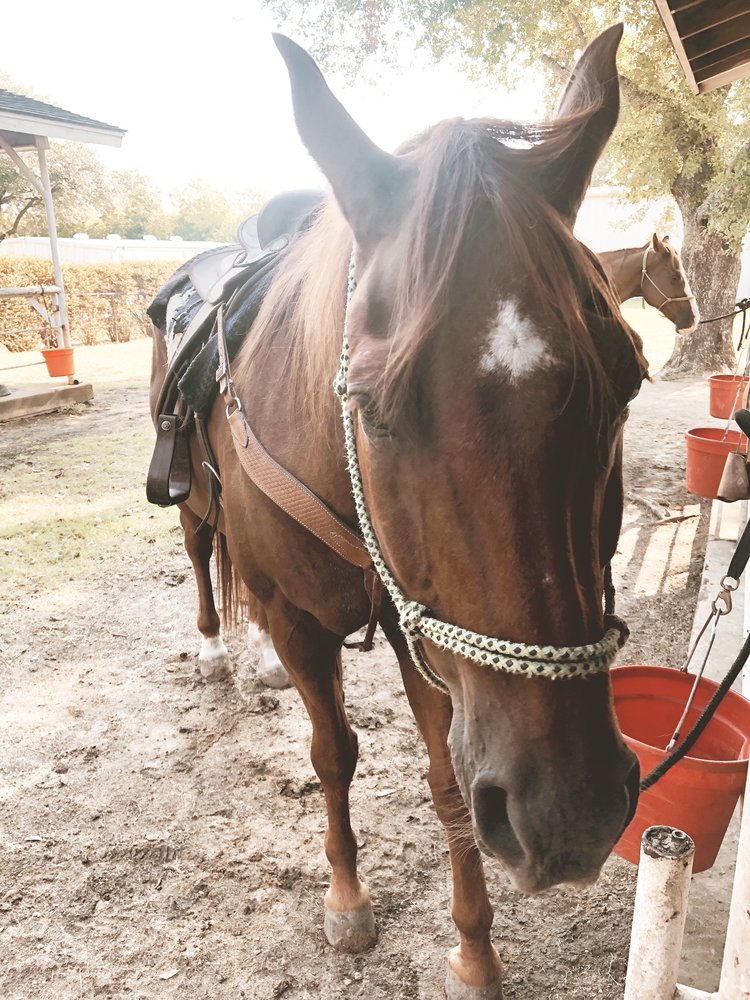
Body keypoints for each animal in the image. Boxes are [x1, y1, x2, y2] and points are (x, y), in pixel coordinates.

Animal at [150, 25, 648, 1000]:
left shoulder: (429, 629)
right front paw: (347, 901)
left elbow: (451, 784)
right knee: (201, 553)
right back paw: (217, 650)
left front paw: (474, 952)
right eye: (372, 409)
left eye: (628, 385)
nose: (569, 814)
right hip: (195, 508)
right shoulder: (304, 621)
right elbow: (333, 753)